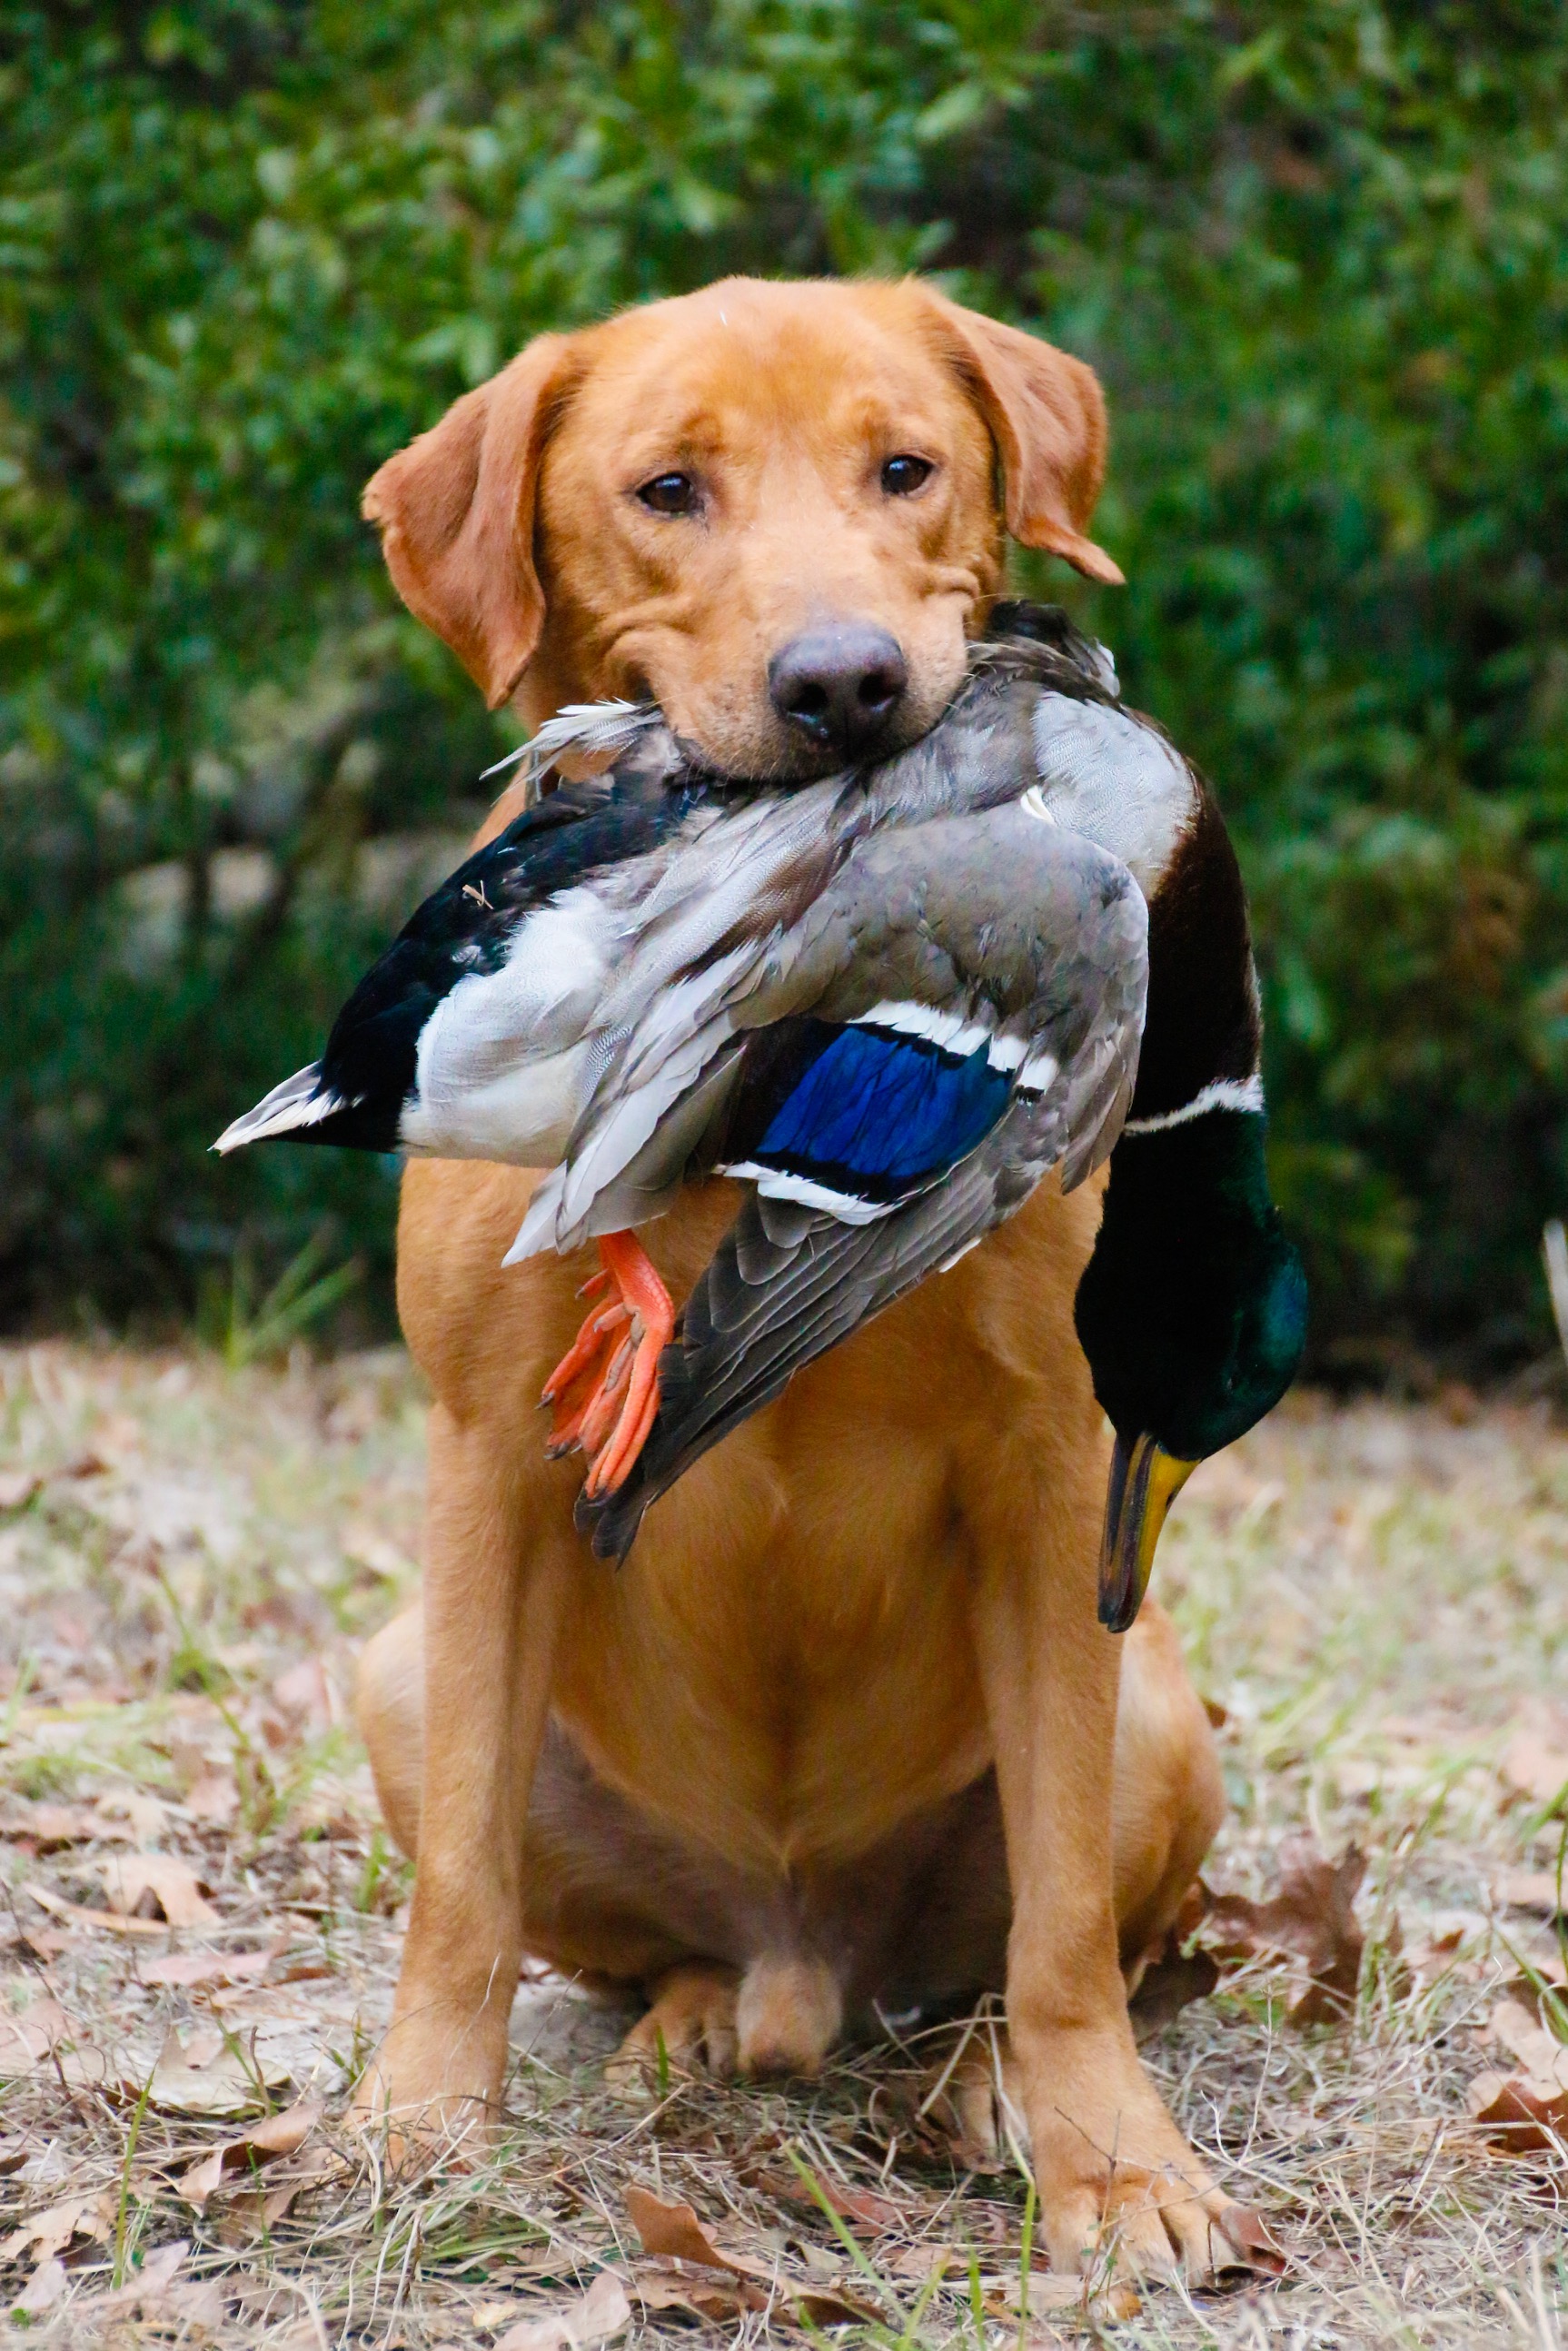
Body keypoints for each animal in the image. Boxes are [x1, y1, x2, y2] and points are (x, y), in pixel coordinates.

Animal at [352, 274, 1241, 2276]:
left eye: (903, 466)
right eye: (665, 488)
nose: (844, 686)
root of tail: (801, 1952)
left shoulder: (1046, 1464)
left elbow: (1063, 1922)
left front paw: (1115, 2162)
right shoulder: (480, 1458)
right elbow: (458, 1885)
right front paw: (420, 2120)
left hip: (1152, 1706)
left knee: (1035, 1946)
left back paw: (984, 2070)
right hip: (400, 1670)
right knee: (603, 1922)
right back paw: (683, 2020)